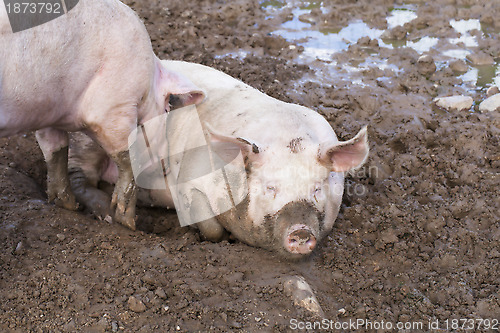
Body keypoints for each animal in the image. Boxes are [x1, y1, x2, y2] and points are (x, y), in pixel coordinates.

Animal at [0, 0, 205, 228]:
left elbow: (55, 150)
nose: (163, 168)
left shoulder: (47, 111)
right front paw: (126, 222)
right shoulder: (112, 108)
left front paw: (66, 205)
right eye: (167, 108)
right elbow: (127, 156)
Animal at [68, 61, 370, 260]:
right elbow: (210, 226)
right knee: (79, 175)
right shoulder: (189, 182)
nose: (301, 232)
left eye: (317, 188)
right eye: (270, 188)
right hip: (90, 136)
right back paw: (105, 212)